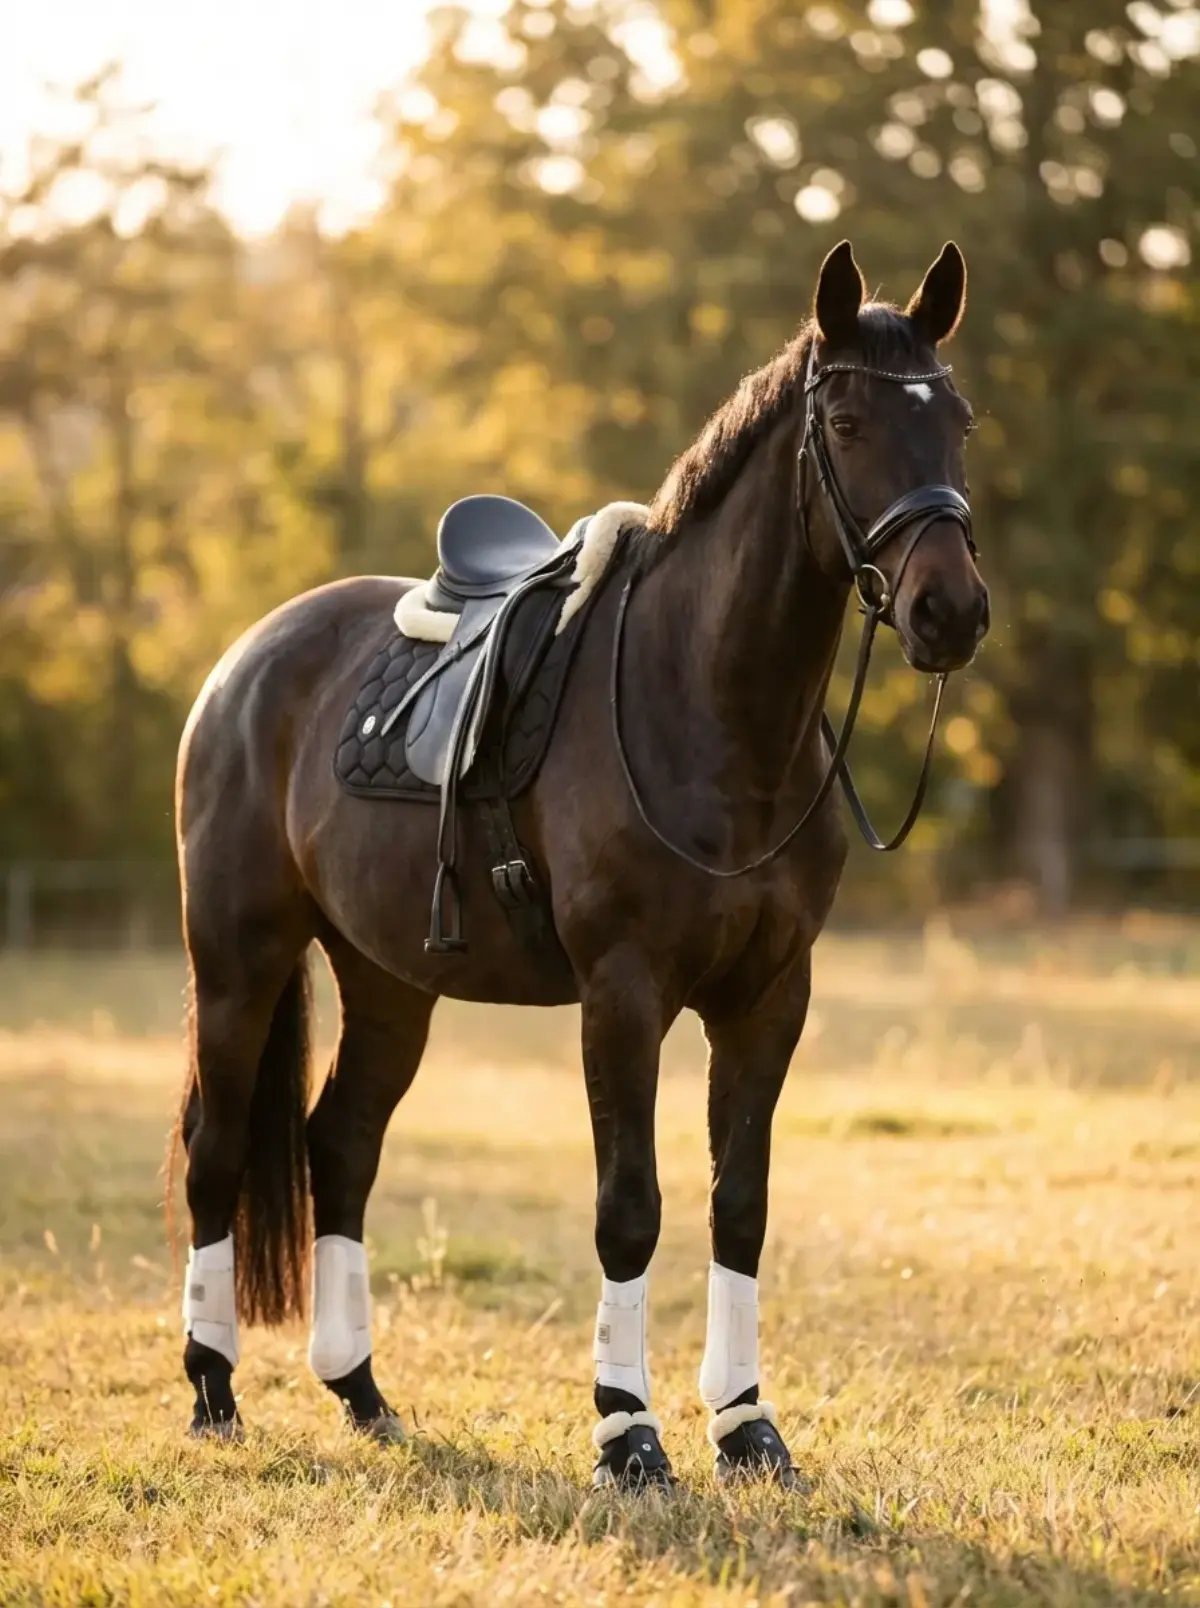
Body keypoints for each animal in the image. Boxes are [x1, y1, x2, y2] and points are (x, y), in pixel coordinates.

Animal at [171, 239, 988, 1488]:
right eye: (847, 421)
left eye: (958, 421)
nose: (952, 611)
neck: (706, 704)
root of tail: (247, 661)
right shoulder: (624, 994)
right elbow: (629, 1207)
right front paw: (628, 1432)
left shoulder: (770, 996)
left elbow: (739, 1203)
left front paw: (747, 1426)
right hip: (238, 960)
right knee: (215, 1154)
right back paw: (214, 1389)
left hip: (389, 981)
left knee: (339, 1146)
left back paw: (363, 1393)